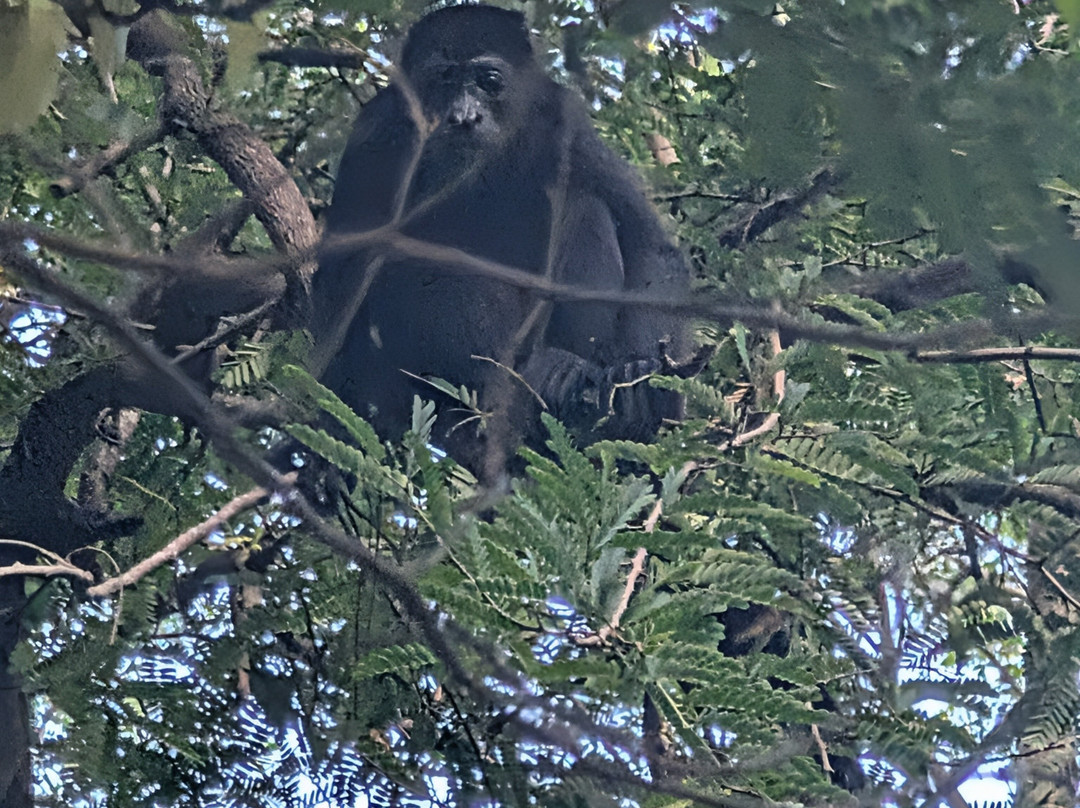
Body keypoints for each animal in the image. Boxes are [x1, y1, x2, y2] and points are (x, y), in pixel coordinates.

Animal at [311, 5, 690, 477]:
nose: (464, 116)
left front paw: (648, 383)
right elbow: (341, 282)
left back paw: (566, 378)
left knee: (586, 208)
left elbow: (648, 244)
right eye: (445, 78)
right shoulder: (377, 133)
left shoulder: (564, 120)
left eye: (488, 80)